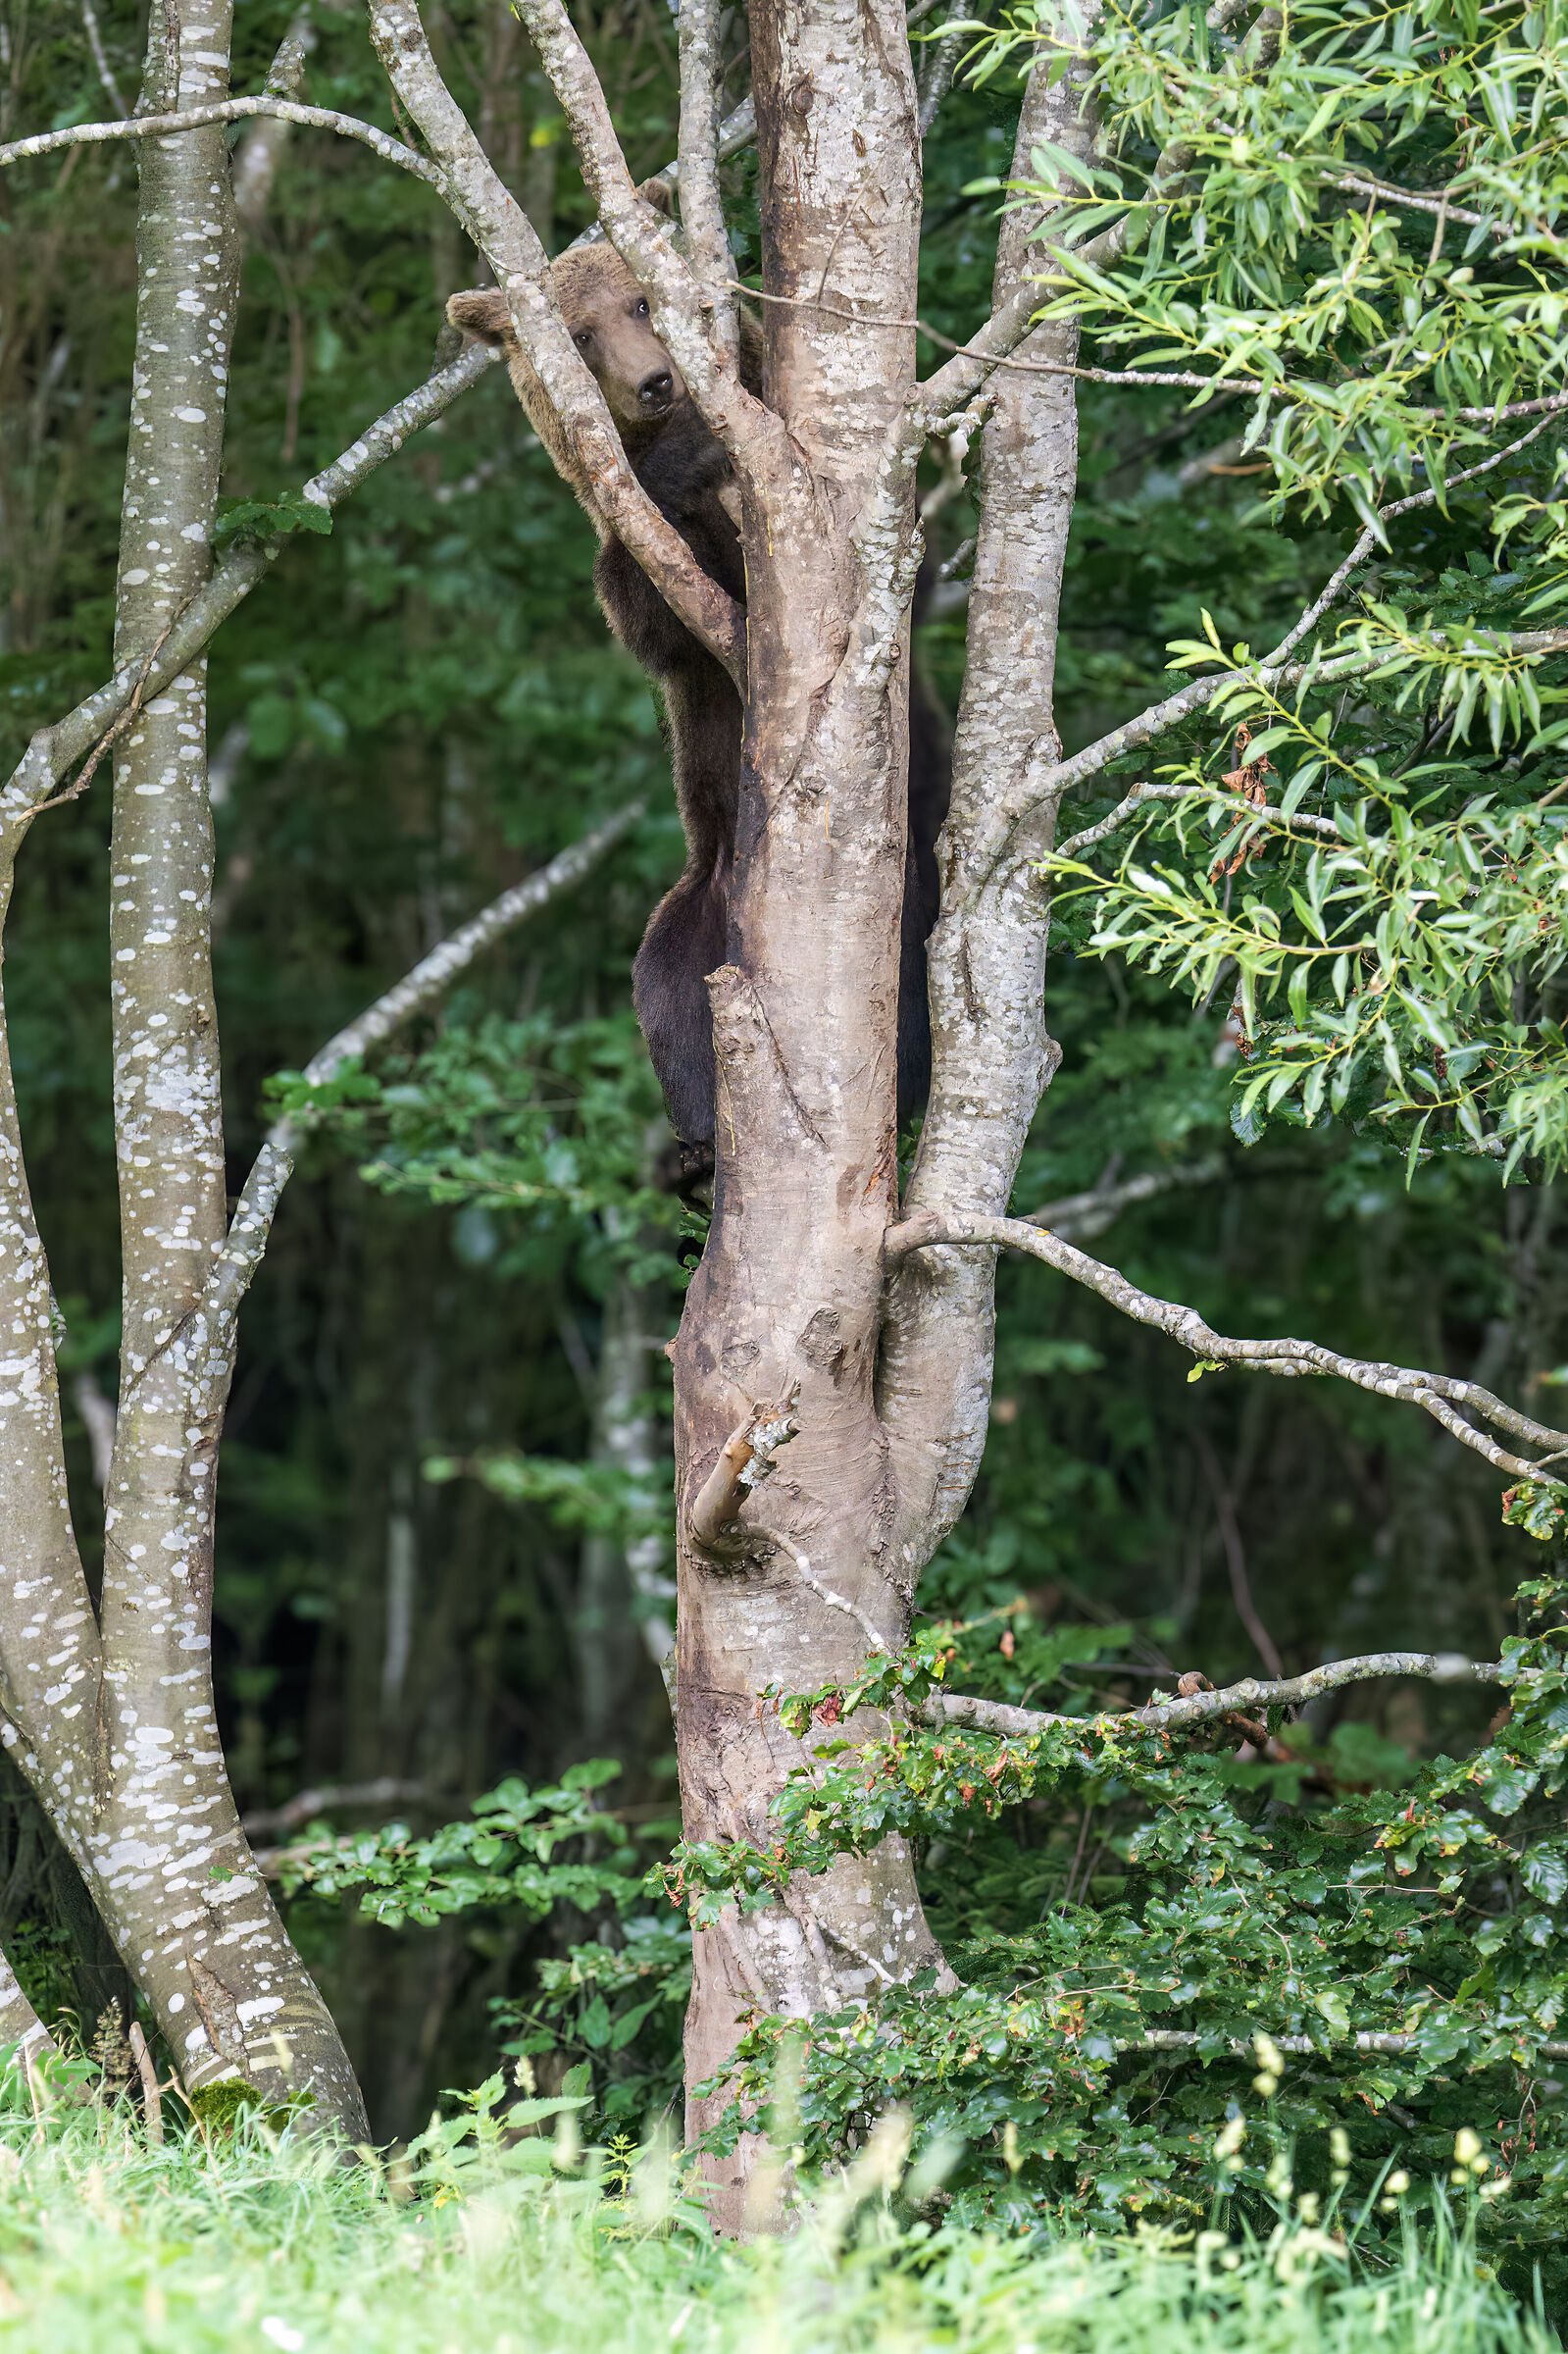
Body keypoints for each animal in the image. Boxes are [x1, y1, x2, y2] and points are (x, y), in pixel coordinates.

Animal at [447, 243, 949, 1160]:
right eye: (578, 334)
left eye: (642, 303)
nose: (653, 382)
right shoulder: (653, 569)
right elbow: (649, 612)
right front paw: (679, 457)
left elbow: (892, 573)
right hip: (699, 911)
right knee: (667, 989)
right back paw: (702, 1139)